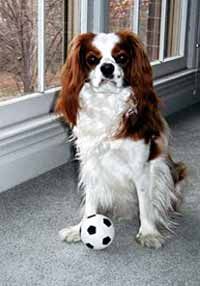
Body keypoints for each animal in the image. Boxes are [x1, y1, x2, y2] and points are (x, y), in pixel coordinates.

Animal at [55, 29, 187, 248]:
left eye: (122, 58)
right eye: (92, 59)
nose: (107, 67)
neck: (107, 102)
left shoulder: (141, 166)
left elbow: (145, 203)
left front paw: (148, 232)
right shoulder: (91, 163)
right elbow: (90, 200)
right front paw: (81, 228)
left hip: (167, 169)